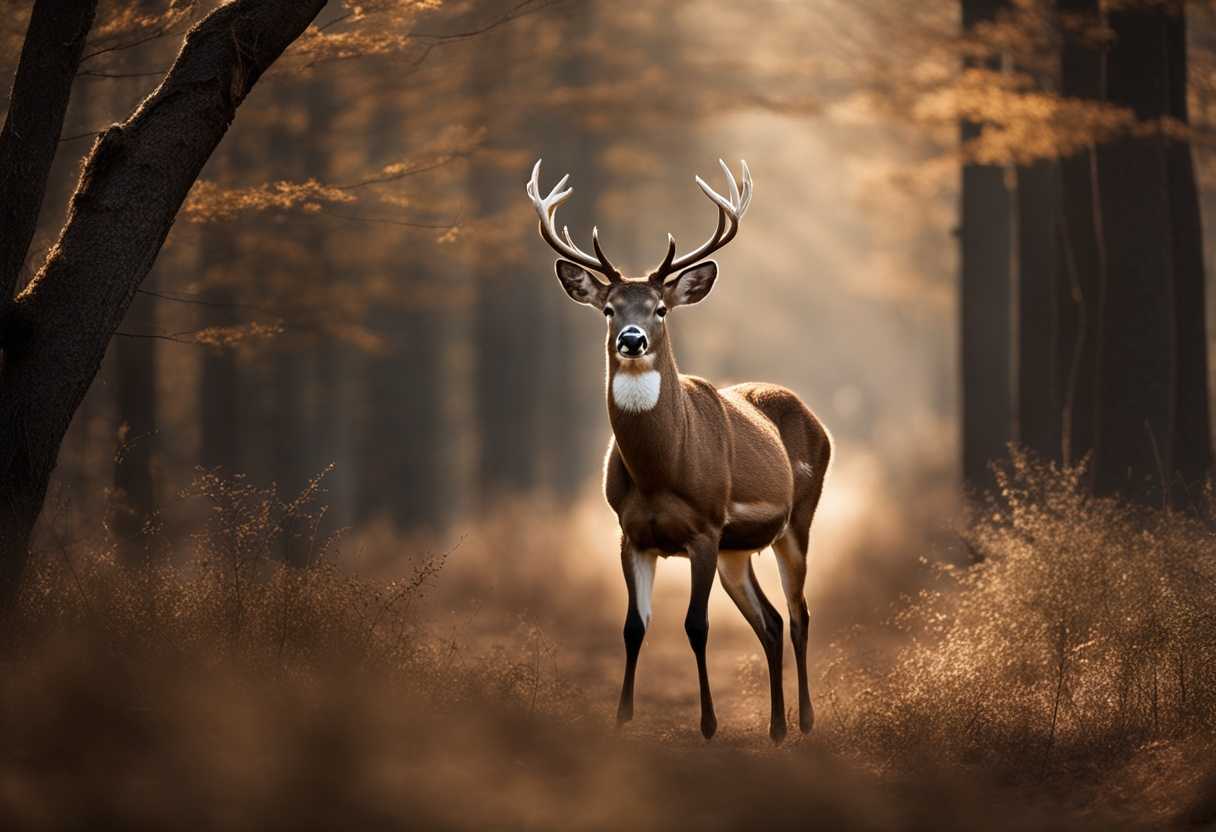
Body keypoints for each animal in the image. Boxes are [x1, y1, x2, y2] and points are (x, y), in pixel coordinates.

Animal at [526, 158, 832, 743]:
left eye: (661, 308)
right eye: (608, 309)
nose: (632, 339)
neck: (659, 472)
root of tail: (818, 421)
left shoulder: (706, 528)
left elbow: (696, 625)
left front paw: (709, 725)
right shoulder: (630, 533)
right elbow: (633, 626)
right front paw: (621, 717)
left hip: (797, 520)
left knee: (800, 613)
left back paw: (805, 721)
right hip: (739, 549)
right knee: (771, 620)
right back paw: (776, 726)